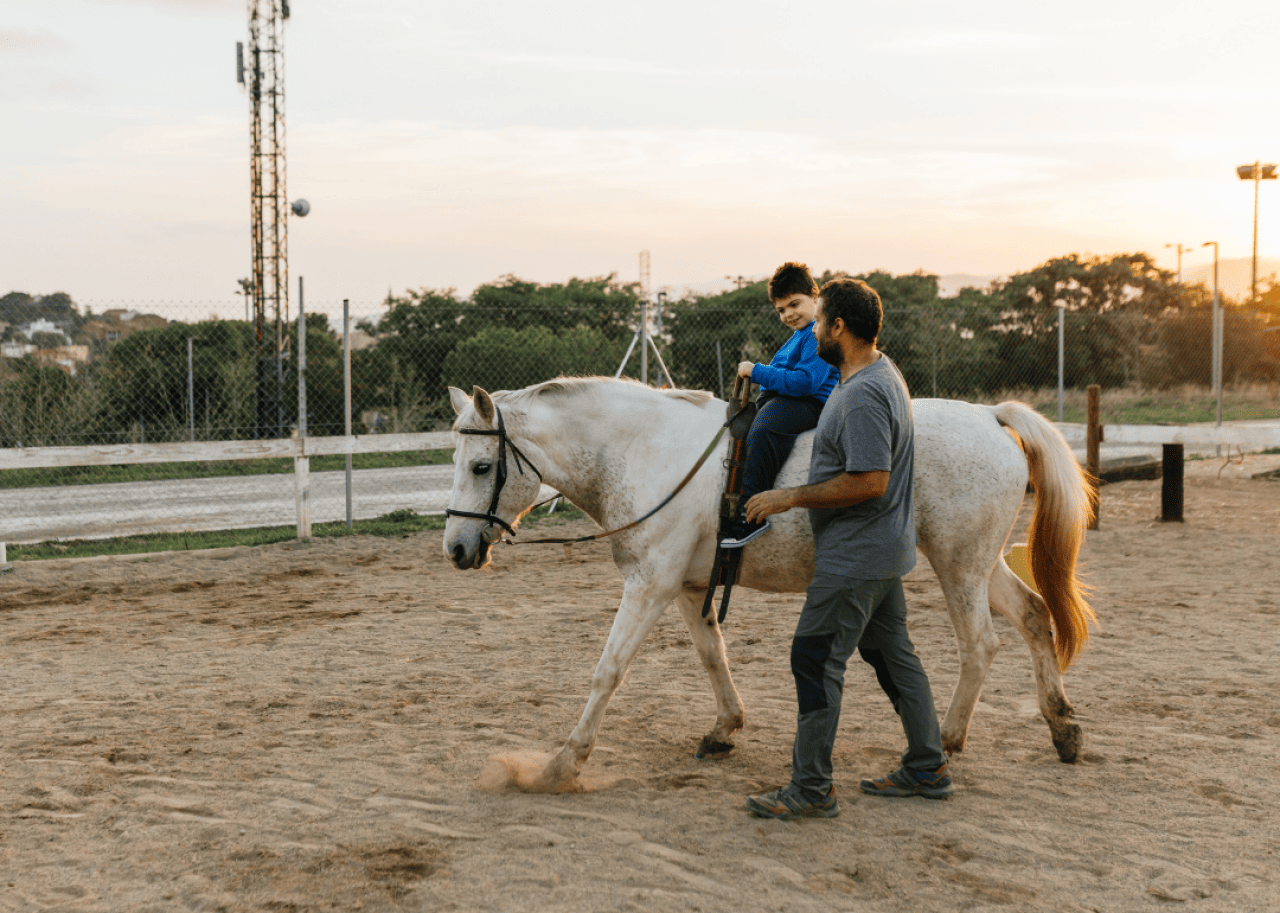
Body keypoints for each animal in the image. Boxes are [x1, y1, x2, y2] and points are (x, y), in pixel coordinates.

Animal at [443, 377, 1095, 793]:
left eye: (481, 466)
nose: (455, 549)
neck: (643, 450)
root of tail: (989, 415)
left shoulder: (649, 585)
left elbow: (609, 670)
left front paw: (562, 765)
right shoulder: (688, 588)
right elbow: (713, 655)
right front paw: (723, 729)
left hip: (959, 565)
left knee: (981, 645)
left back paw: (952, 741)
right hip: (981, 565)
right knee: (1034, 615)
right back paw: (1062, 727)